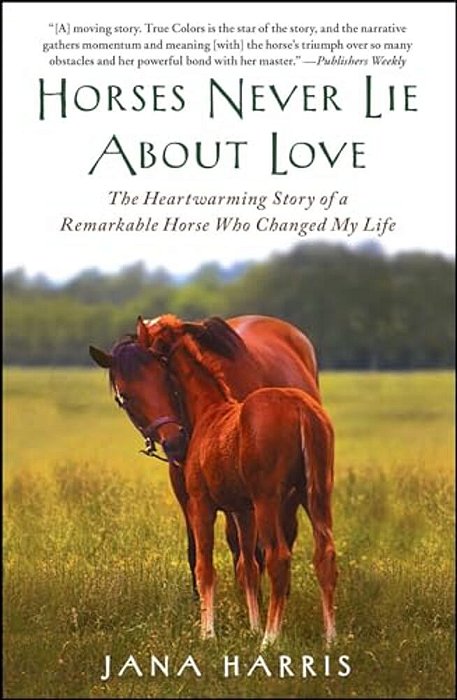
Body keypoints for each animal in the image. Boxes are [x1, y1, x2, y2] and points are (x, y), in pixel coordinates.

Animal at [90, 318, 337, 647]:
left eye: (164, 377)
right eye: (125, 398)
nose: (175, 443)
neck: (211, 408)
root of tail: (300, 408)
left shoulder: (203, 504)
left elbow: (207, 566)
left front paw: (208, 633)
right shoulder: (240, 509)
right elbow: (245, 564)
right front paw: (249, 624)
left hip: (271, 501)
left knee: (279, 556)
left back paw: (270, 638)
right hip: (315, 495)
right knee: (324, 555)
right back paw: (330, 637)